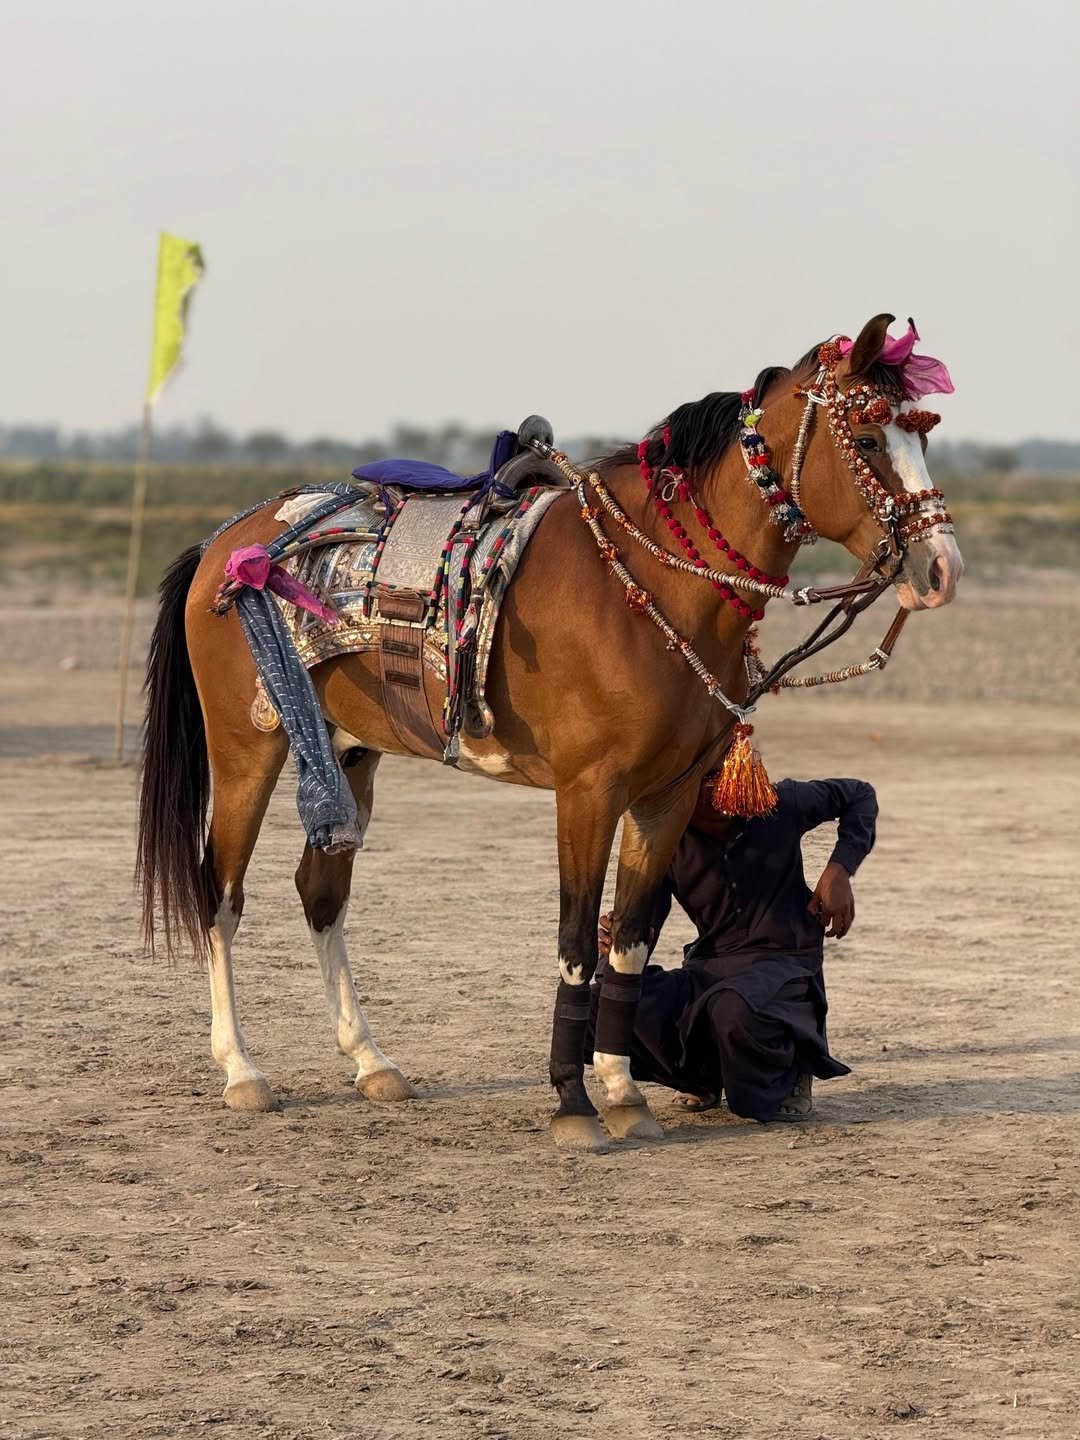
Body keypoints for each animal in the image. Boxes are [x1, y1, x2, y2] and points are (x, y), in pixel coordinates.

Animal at [137, 313, 962, 1151]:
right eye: (868, 438)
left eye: (921, 435)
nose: (940, 570)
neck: (651, 584)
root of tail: (223, 546)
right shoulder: (588, 792)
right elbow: (574, 941)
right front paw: (572, 1101)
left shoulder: (665, 797)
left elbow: (627, 940)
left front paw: (623, 1092)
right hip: (249, 751)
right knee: (221, 895)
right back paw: (241, 1070)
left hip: (348, 752)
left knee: (320, 894)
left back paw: (370, 1061)